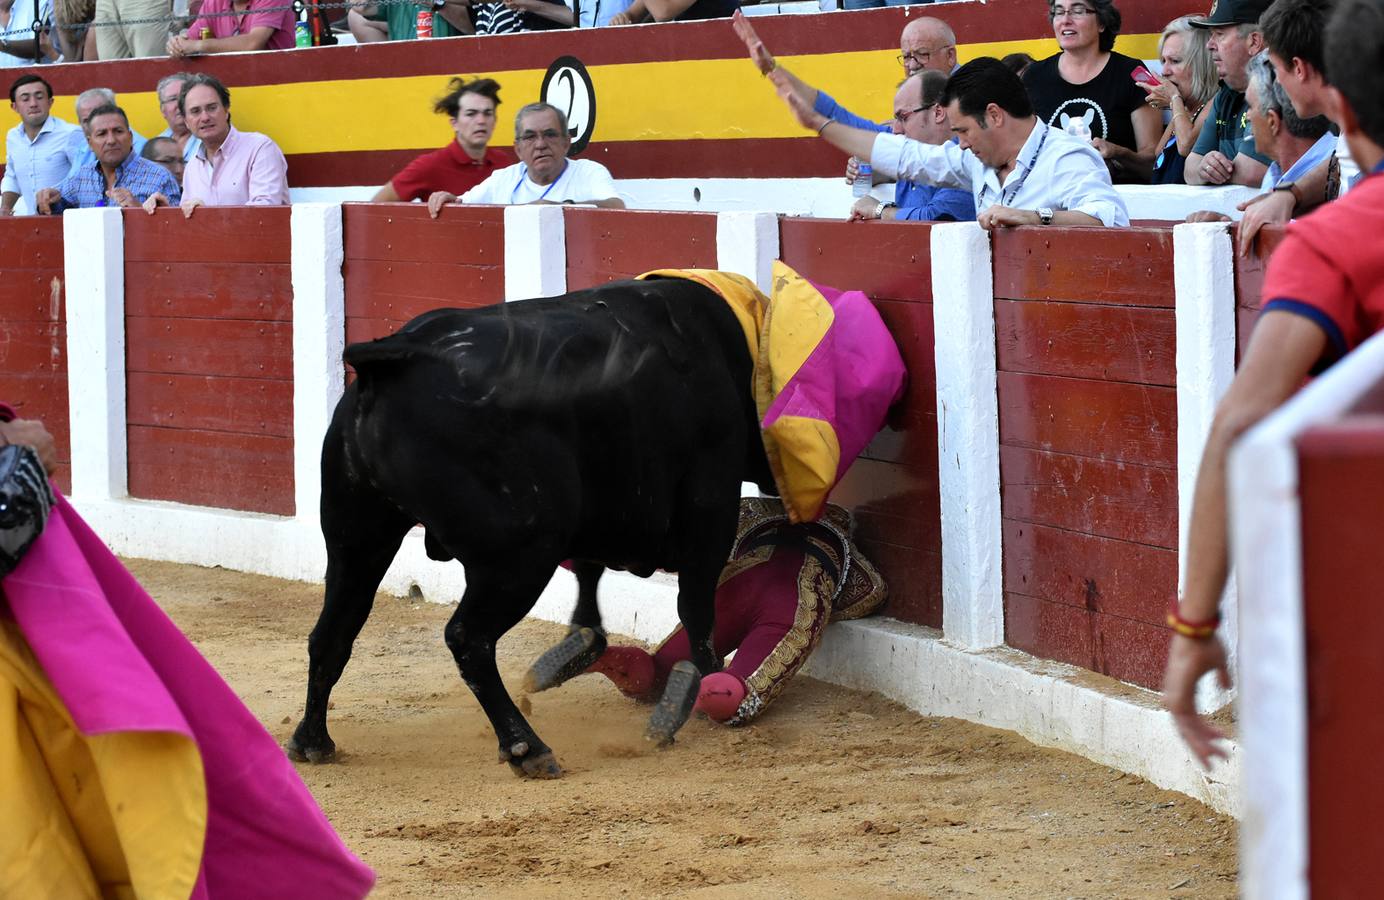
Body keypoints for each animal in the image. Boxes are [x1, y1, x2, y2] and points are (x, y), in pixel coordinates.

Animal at [285, 276, 775, 775]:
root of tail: (400, 353)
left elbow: (589, 579)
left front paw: (578, 647)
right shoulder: (709, 505)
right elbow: (696, 607)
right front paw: (706, 682)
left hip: (356, 536)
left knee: (332, 632)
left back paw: (312, 742)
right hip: (519, 557)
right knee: (468, 638)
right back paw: (527, 747)